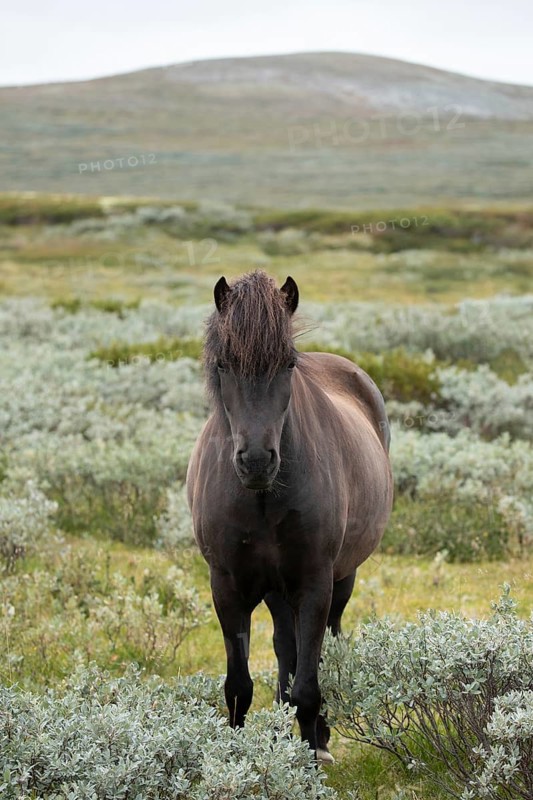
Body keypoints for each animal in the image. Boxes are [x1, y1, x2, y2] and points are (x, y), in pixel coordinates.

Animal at [186, 271, 393, 762]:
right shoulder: (226, 586)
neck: (262, 498)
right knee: (285, 646)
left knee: (319, 649)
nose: (258, 461)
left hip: (339, 579)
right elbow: (239, 686)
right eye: (224, 364)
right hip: (277, 590)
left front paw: (313, 752)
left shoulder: (315, 583)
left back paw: (319, 735)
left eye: (287, 364)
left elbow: (308, 684)